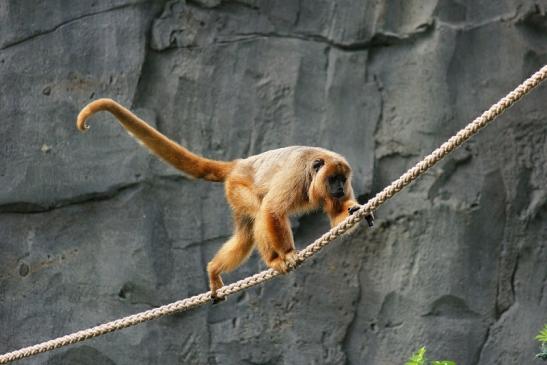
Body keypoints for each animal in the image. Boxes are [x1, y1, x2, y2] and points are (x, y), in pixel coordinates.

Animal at [77, 98, 372, 300]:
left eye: (342, 180)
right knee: (260, 212)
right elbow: (273, 209)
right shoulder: (296, 175)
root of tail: (238, 164)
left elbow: (336, 216)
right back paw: (273, 260)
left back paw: (213, 270)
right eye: (333, 179)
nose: (339, 188)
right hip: (238, 187)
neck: (314, 169)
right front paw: (287, 253)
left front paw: (355, 209)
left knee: (244, 236)